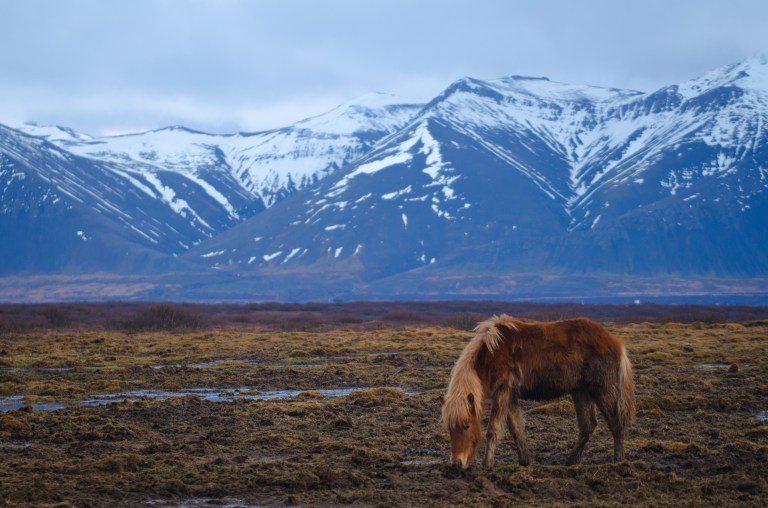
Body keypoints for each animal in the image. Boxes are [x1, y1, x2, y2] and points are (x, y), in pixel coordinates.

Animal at [441, 314, 635, 469]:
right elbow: (516, 428)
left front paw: (487, 465)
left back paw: (618, 460)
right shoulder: (510, 395)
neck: (493, 354)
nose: (457, 463)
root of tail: (615, 342)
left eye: (467, 425)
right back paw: (571, 461)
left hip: (602, 390)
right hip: (580, 391)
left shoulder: (503, 392)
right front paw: (525, 461)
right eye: (450, 428)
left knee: (615, 422)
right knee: (588, 425)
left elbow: (493, 429)